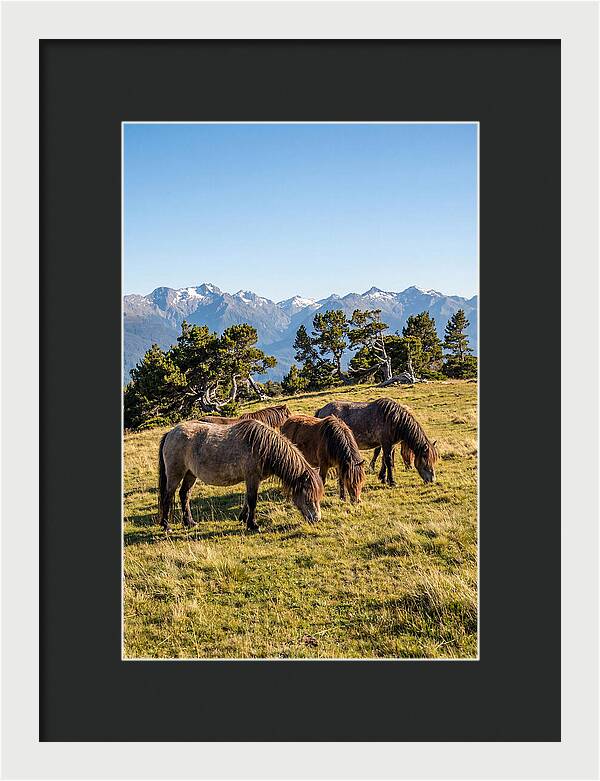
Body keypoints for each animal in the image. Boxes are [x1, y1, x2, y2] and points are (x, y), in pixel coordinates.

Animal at [158, 418, 323, 532]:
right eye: (308, 497)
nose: (316, 519)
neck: (263, 447)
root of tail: (170, 433)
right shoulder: (252, 478)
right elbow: (252, 500)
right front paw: (253, 525)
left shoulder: (252, 480)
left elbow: (246, 500)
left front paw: (244, 518)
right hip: (175, 474)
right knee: (168, 496)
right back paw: (166, 526)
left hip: (190, 474)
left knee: (184, 495)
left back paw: (189, 522)